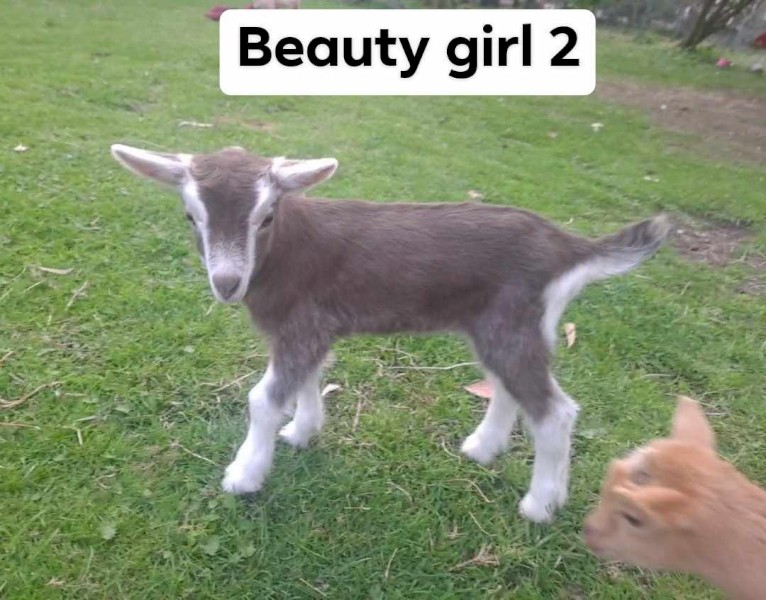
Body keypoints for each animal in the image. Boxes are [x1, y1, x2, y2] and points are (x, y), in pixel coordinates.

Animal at [110, 144, 669, 523]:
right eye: (191, 215)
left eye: (266, 216)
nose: (227, 283)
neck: (285, 255)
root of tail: (568, 246)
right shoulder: (308, 330)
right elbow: (306, 381)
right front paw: (302, 433)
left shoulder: (302, 327)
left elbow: (263, 400)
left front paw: (244, 475)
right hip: (501, 325)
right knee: (508, 386)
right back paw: (483, 449)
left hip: (511, 324)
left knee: (555, 411)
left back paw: (539, 505)